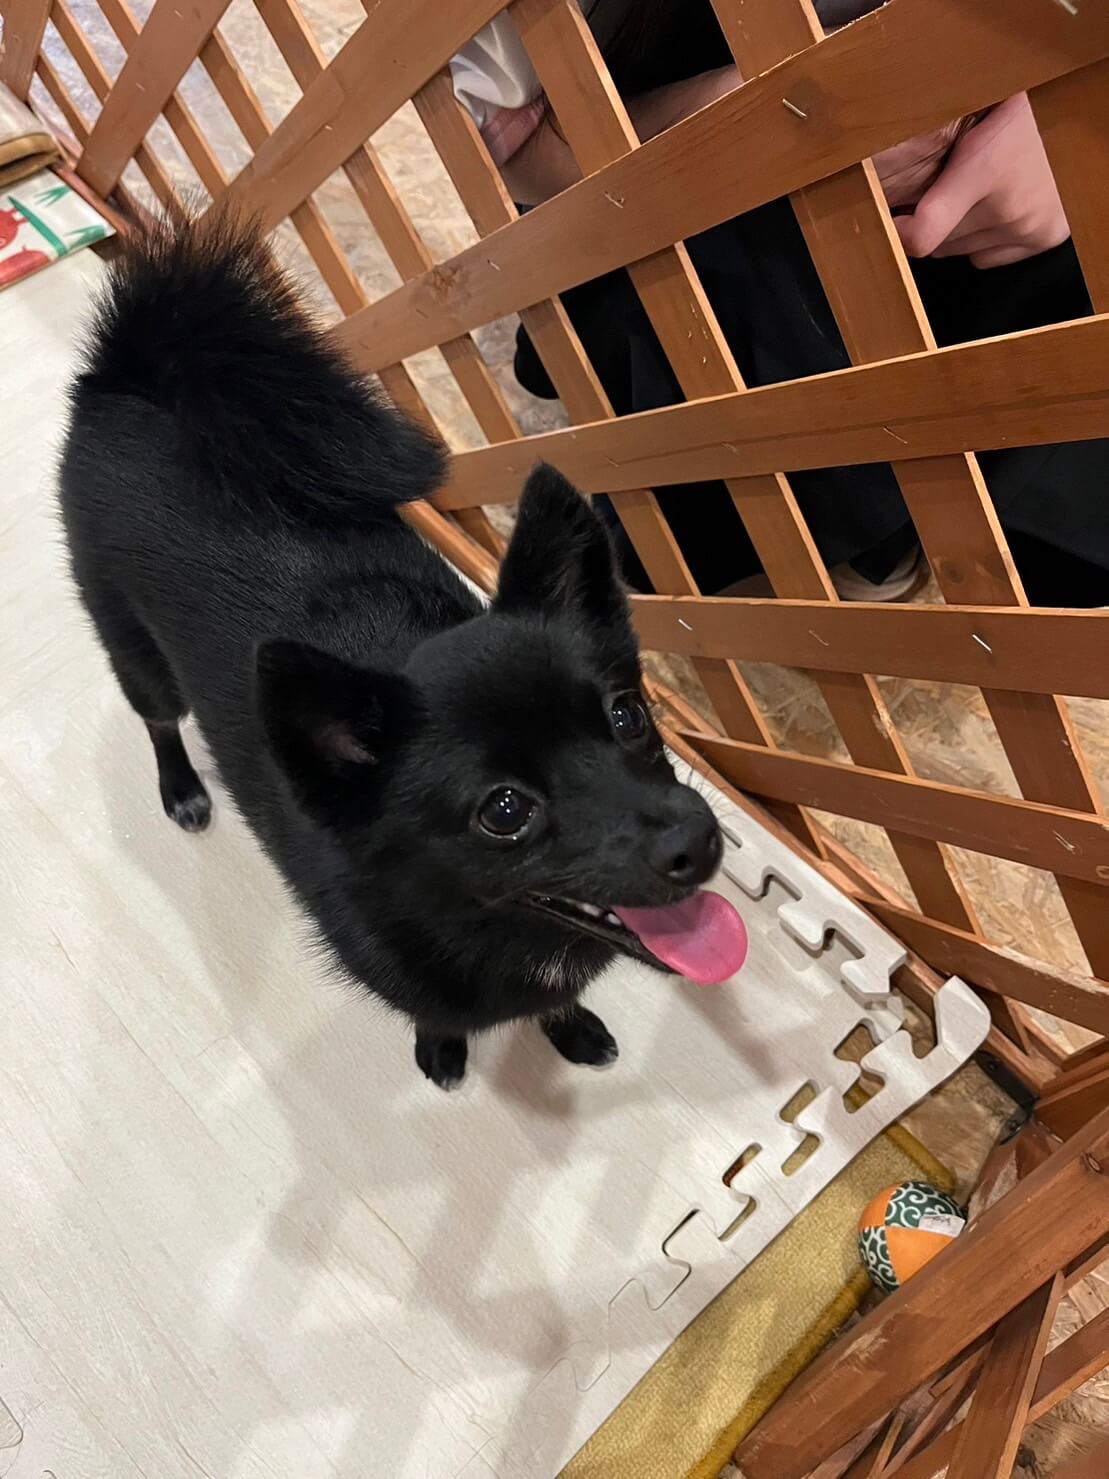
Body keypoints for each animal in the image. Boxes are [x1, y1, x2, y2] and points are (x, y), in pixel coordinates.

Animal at [59, 214, 745, 1089]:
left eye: (628, 715)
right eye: (504, 812)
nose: (697, 837)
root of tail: (138, 372)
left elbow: (552, 1004)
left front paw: (570, 1026)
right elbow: (440, 1014)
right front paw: (444, 1048)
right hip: (135, 650)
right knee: (157, 720)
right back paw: (181, 789)